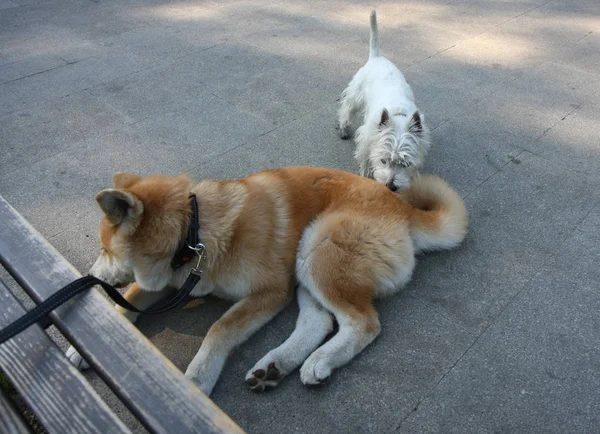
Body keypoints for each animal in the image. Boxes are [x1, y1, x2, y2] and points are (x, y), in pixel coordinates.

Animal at [67, 167, 468, 396]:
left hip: (316, 251)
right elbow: (132, 296)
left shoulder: (270, 291)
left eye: (105, 249)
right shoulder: (172, 280)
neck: (194, 232)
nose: (91, 278)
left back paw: (320, 361)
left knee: (364, 324)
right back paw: (275, 366)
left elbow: (220, 328)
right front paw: (93, 336)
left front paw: (196, 380)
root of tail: (403, 209)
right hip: (307, 266)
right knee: (318, 322)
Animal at [338, 9, 432, 190]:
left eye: (406, 163)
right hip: (356, 93)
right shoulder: (367, 136)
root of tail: (377, 57)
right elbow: (365, 156)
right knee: (347, 108)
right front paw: (367, 173)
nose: (391, 186)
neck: (398, 115)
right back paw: (344, 129)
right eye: (383, 160)